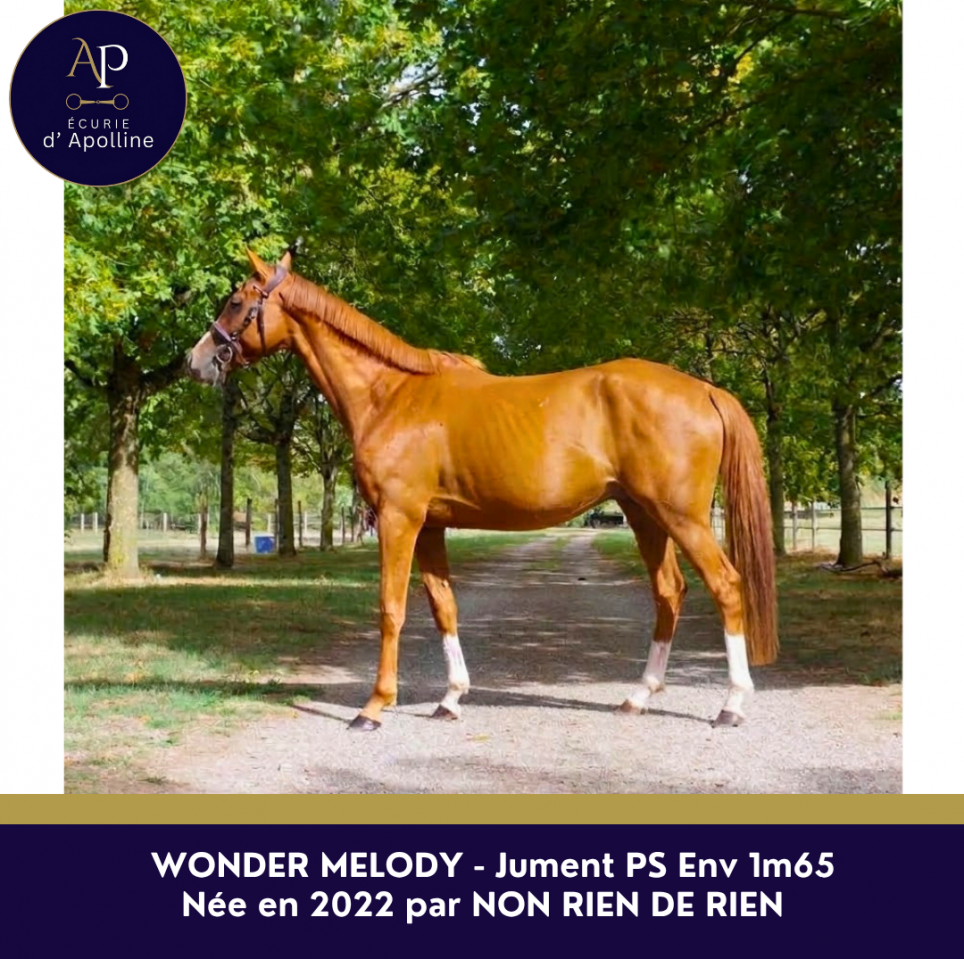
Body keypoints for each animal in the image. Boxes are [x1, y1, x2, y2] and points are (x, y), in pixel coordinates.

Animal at [188, 249, 777, 731]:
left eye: (237, 301)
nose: (195, 362)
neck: (390, 395)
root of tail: (704, 388)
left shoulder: (399, 519)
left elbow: (391, 607)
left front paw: (374, 706)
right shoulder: (429, 526)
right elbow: (442, 606)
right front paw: (450, 698)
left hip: (681, 517)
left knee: (726, 586)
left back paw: (731, 705)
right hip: (643, 514)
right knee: (669, 592)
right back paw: (639, 696)